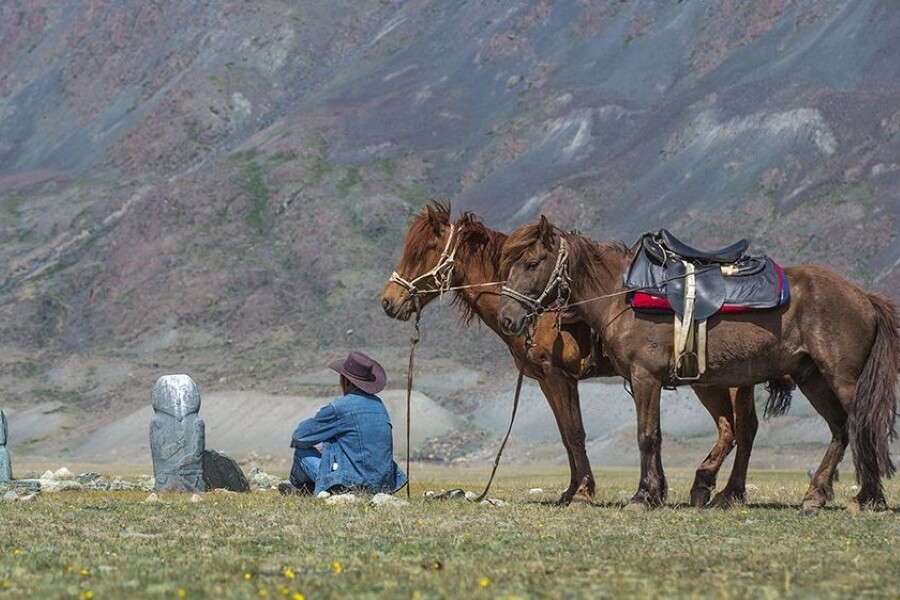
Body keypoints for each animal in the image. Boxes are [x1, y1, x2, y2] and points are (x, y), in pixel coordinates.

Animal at [380, 205, 772, 506]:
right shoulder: (547, 381)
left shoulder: (558, 376)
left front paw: (583, 492)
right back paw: (710, 487)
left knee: (738, 429)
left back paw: (719, 489)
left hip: (719, 380)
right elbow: (567, 433)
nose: (388, 302)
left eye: (422, 252)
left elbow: (575, 433)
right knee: (737, 428)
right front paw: (573, 490)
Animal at [496, 216, 896, 510]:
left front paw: (642, 497)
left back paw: (866, 498)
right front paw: (655, 494)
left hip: (842, 377)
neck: (622, 296)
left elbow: (646, 436)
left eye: (531, 263)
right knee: (840, 428)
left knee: (860, 425)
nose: (507, 318)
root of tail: (863, 296)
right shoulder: (648, 381)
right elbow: (654, 435)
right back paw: (816, 496)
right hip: (810, 376)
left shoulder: (645, 377)